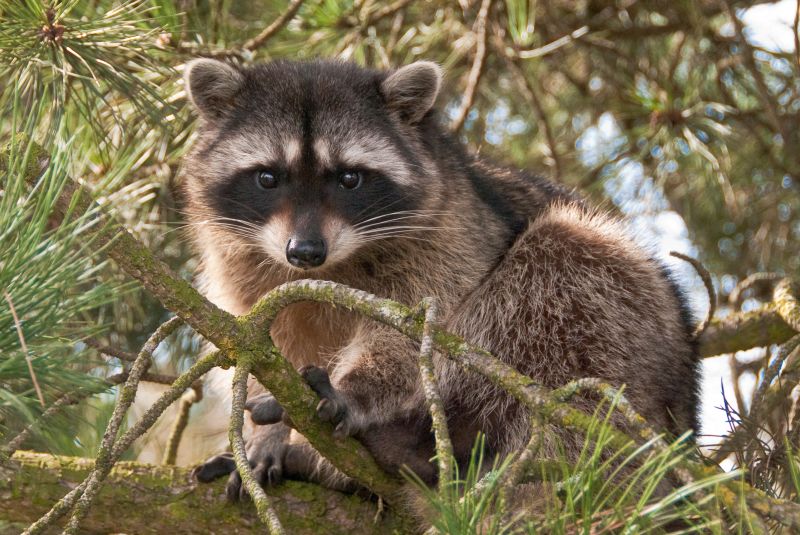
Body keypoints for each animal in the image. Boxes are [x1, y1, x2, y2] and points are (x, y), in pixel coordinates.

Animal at [182, 59, 700, 499]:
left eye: (349, 178)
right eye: (268, 178)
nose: (305, 252)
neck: (331, 266)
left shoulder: (451, 239)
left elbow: (413, 332)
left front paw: (355, 390)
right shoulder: (245, 269)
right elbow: (257, 344)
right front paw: (263, 435)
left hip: (635, 338)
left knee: (561, 267)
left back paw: (413, 446)